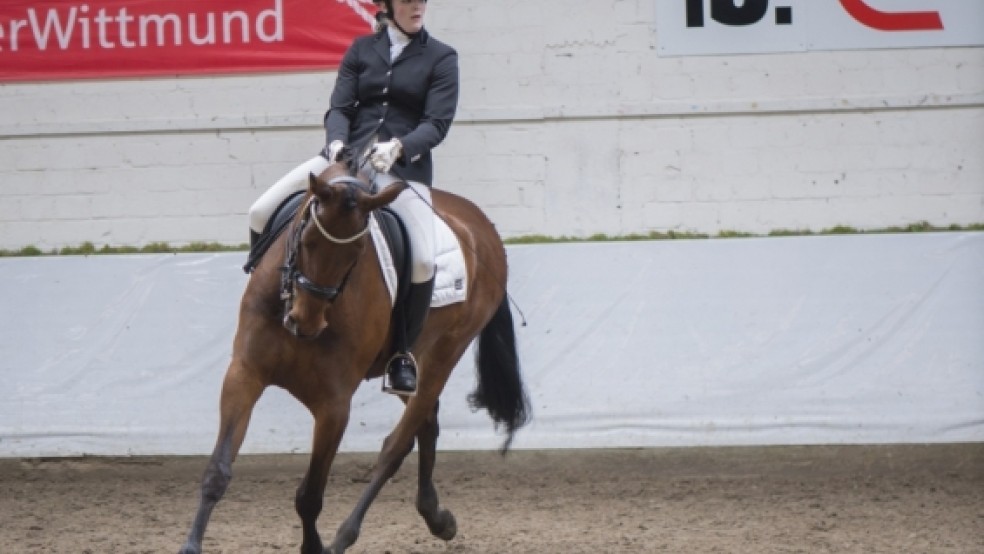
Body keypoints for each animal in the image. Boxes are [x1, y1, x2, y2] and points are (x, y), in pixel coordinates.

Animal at [177, 148, 532, 552]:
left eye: (358, 253)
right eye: (307, 240)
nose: (306, 322)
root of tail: (485, 228)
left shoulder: (334, 407)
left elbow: (310, 496)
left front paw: (315, 547)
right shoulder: (244, 374)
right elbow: (218, 471)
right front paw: (191, 545)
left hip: (444, 356)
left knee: (396, 446)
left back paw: (347, 535)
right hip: (411, 367)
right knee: (426, 423)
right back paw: (437, 517)